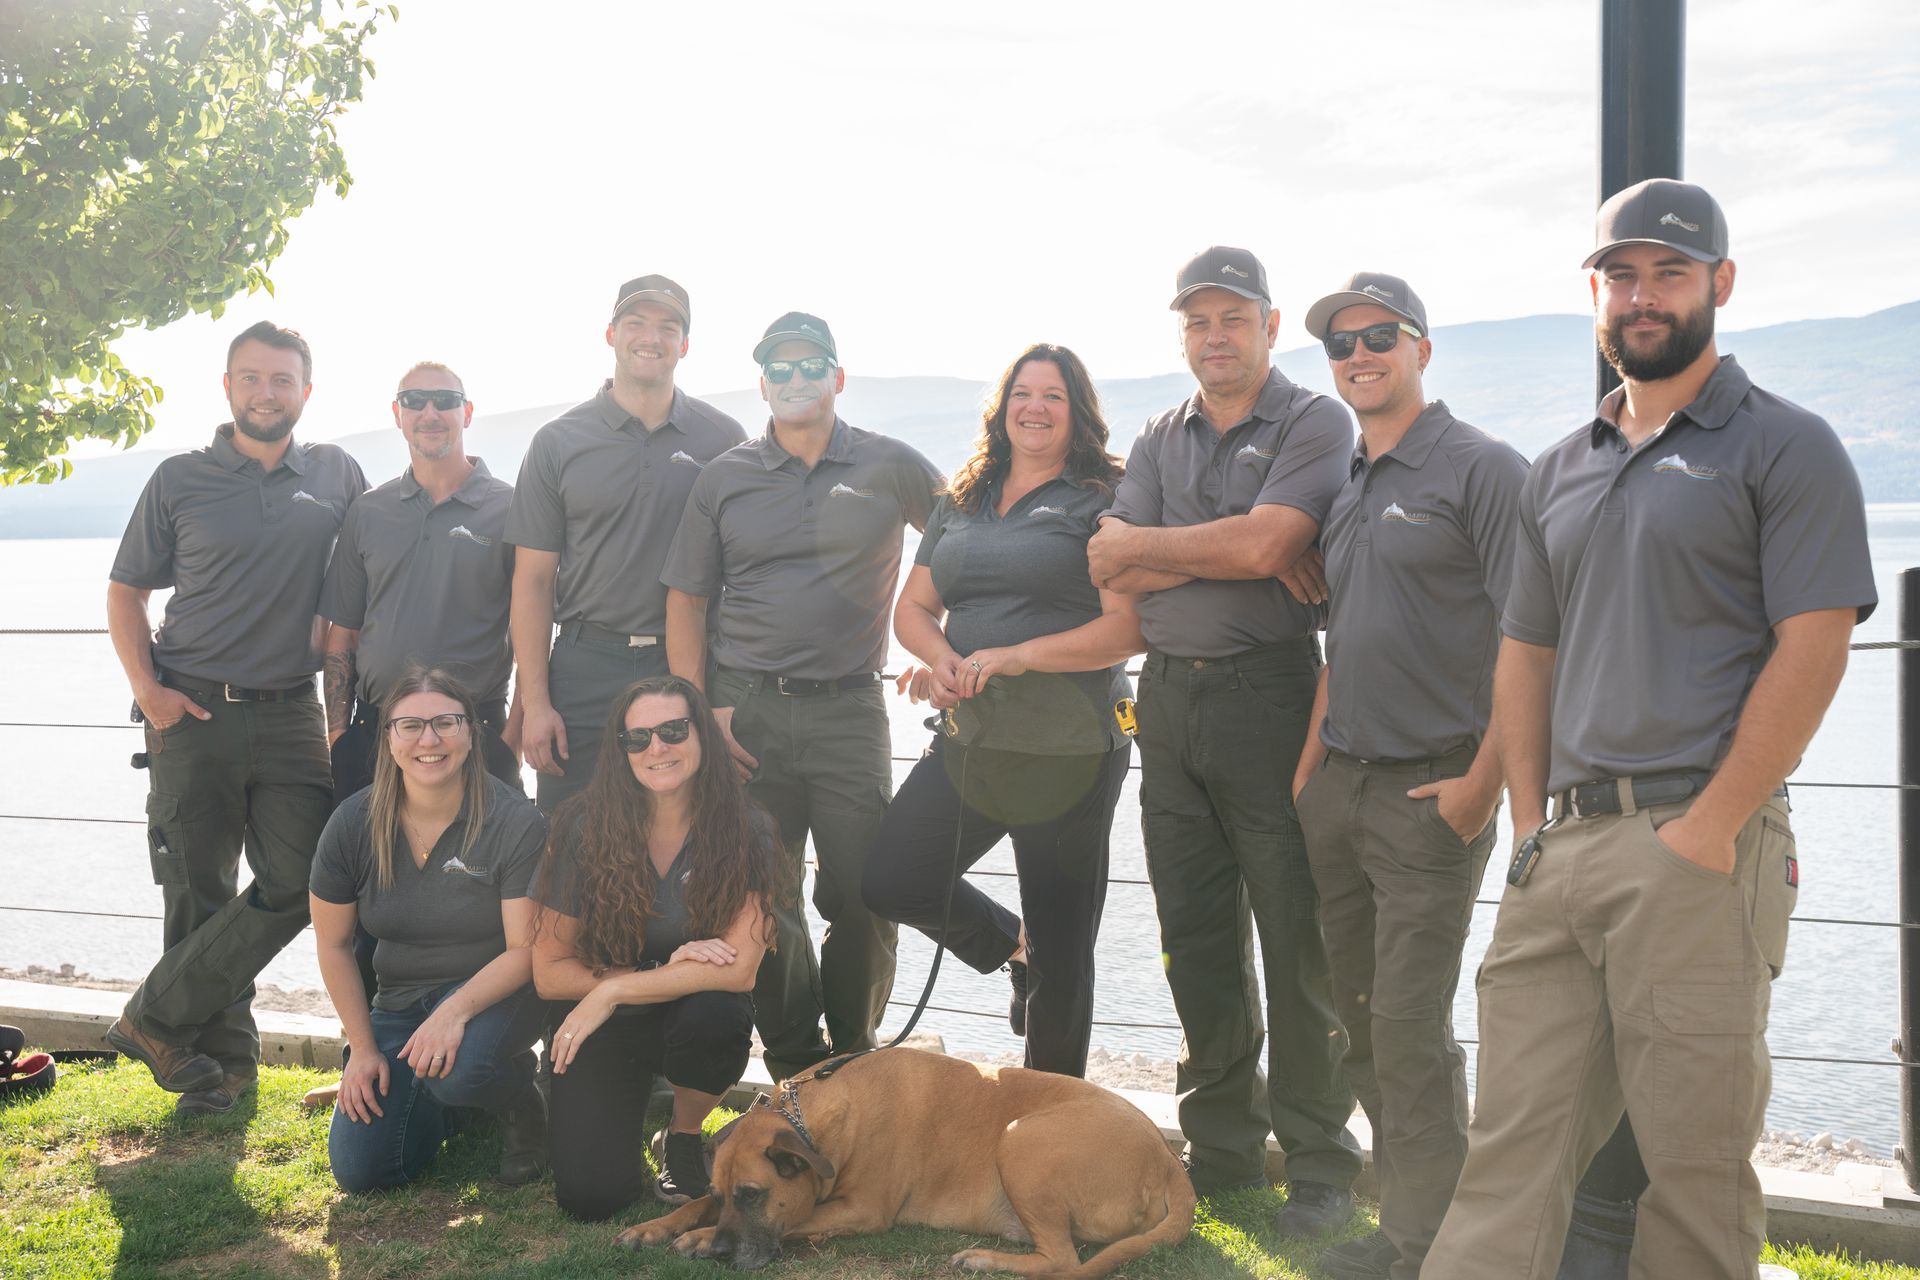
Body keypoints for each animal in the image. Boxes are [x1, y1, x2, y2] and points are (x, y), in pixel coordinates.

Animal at [618, 1043, 1182, 1274]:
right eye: (721, 1191)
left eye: (753, 1195)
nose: (721, 1253)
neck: (812, 1119)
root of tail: (1170, 1162)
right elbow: (695, 1206)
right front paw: (656, 1227)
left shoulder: (861, 1210)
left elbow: (799, 1218)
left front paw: (698, 1239)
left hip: (1021, 1141)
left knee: (1064, 1261)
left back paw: (984, 1259)